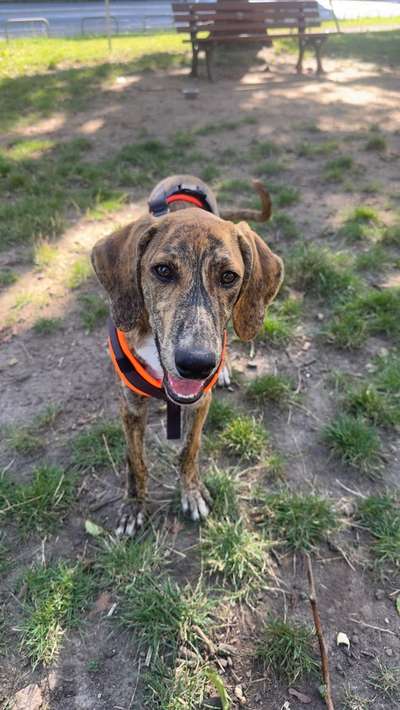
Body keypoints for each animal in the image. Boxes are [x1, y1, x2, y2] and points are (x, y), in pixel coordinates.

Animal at [92, 175, 282, 536]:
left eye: (228, 276)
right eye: (163, 270)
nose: (197, 365)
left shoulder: (199, 402)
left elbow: (188, 450)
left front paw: (191, 492)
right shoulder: (130, 406)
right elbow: (135, 461)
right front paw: (133, 506)